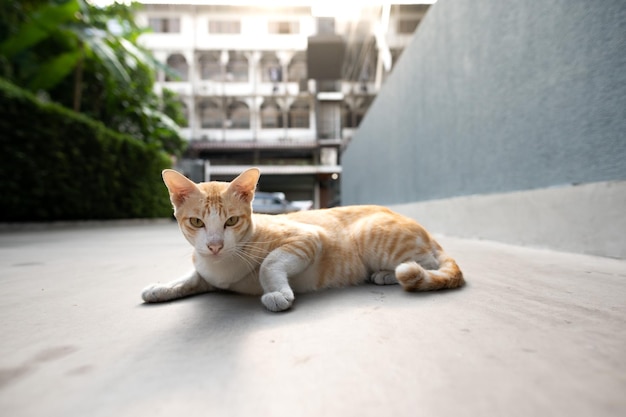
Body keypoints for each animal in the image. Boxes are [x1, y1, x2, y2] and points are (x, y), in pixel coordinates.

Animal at [143, 167, 464, 310]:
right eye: (196, 222)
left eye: (231, 221)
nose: (214, 245)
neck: (222, 266)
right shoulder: (206, 272)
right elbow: (188, 278)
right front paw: (161, 287)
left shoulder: (308, 237)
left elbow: (269, 264)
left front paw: (277, 292)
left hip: (374, 235)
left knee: (427, 264)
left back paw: (390, 274)